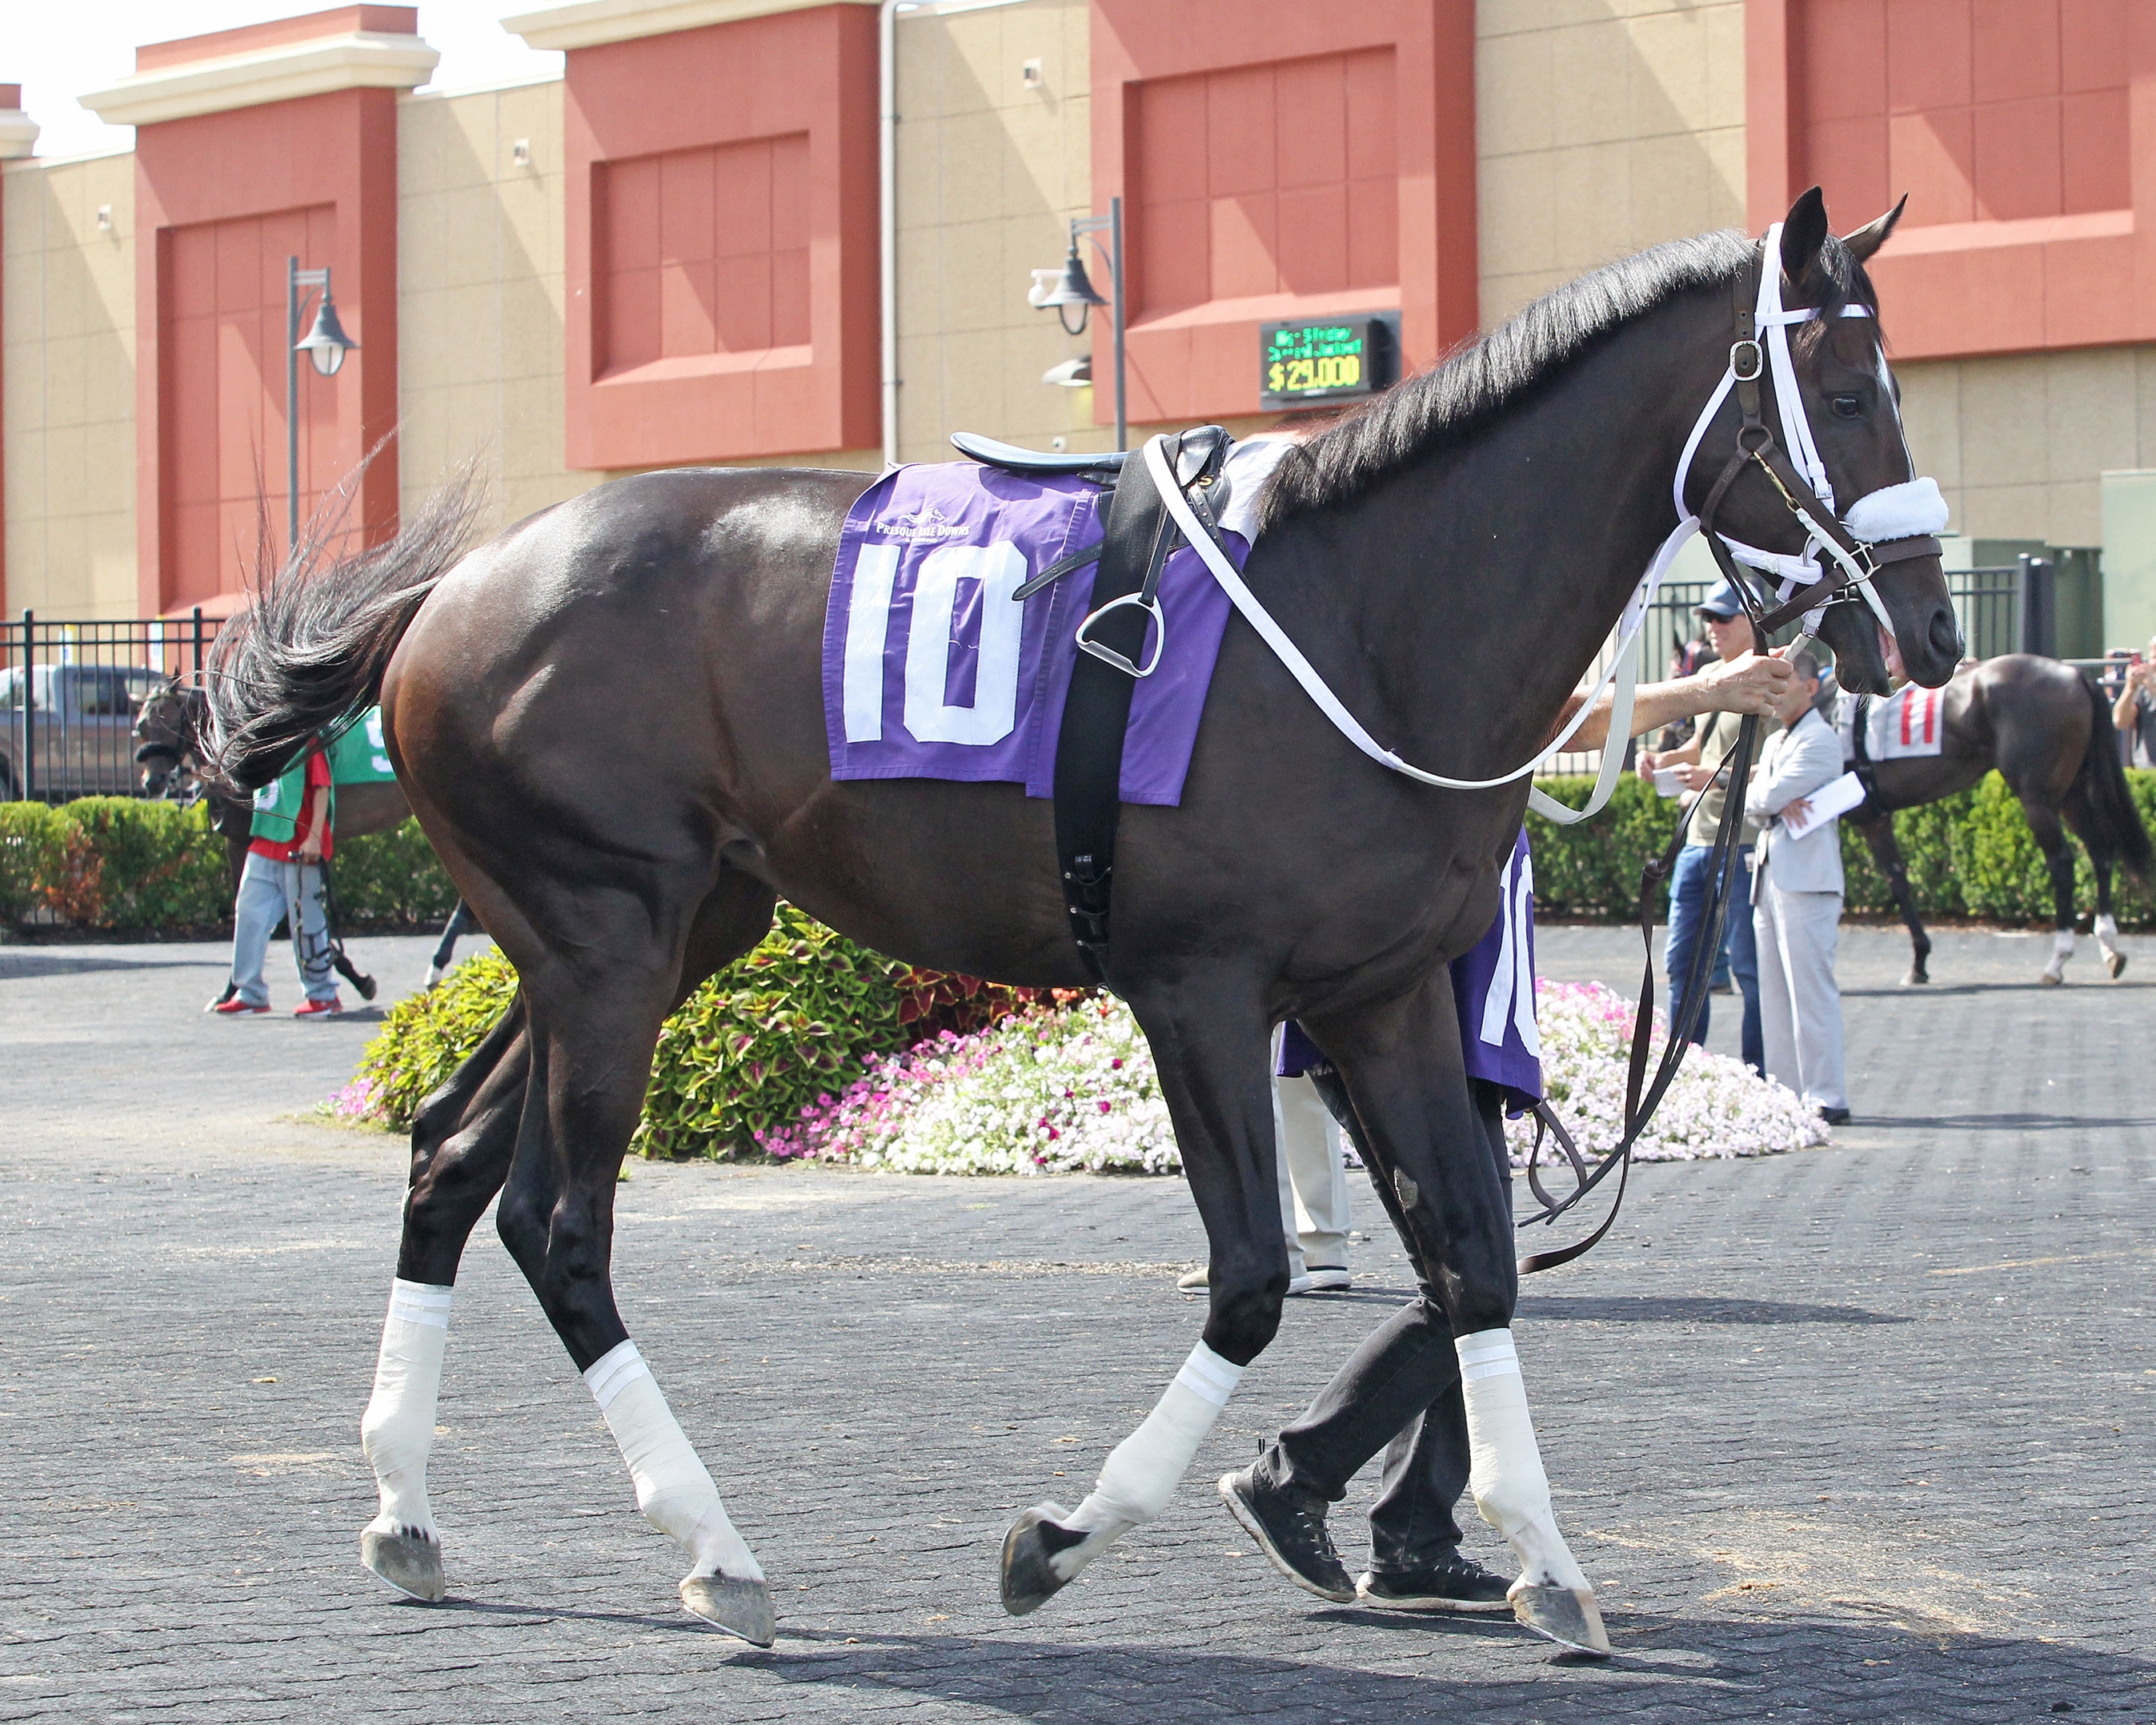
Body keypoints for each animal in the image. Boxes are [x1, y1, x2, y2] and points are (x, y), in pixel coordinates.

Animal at [210, 191, 1966, 1655]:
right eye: (1849, 393)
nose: (1931, 625)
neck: (1361, 613)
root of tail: (441, 603)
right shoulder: (1200, 989)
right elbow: (1250, 1277)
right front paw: (1061, 1536)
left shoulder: (1384, 990)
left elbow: (1472, 1261)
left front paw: (1542, 1560)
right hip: (606, 940)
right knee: (557, 1224)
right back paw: (717, 1553)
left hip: (653, 932)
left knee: (447, 1158)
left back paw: (405, 1511)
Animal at [1845, 655, 2147, 983]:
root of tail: (2074, 674)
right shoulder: (1874, 818)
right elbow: (1898, 881)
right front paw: (1919, 962)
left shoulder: (1865, 818)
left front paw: (1918, 962)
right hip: (2072, 792)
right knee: (2100, 850)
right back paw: (2109, 946)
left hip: (2038, 798)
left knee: (2063, 862)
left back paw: (2058, 959)